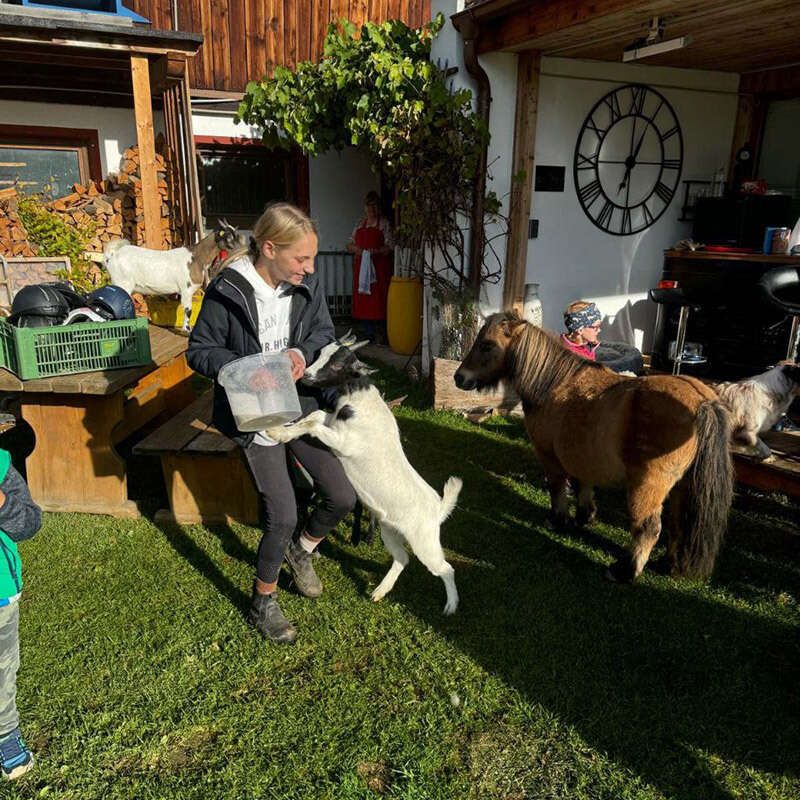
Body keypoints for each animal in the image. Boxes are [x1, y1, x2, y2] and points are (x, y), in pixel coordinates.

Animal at [101, 219, 242, 332]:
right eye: (229, 237)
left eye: (236, 235)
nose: (241, 250)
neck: (196, 258)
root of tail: (112, 255)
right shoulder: (186, 290)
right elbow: (188, 310)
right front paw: (187, 329)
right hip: (122, 283)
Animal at [268, 334, 462, 616]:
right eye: (321, 353)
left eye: (338, 365)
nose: (306, 375)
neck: (358, 403)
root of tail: (438, 509)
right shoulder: (331, 421)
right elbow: (314, 416)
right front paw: (283, 427)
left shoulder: (344, 443)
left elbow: (313, 424)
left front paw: (278, 433)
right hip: (390, 531)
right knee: (402, 559)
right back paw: (379, 591)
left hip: (425, 542)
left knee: (445, 568)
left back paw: (451, 605)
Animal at [454, 312, 736, 580]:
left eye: (487, 345)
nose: (459, 377)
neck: (553, 382)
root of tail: (703, 402)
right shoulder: (580, 456)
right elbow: (583, 485)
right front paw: (584, 516)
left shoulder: (549, 456)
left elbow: (557, 488)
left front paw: (558, 519)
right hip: (682, 487)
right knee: (677, 526)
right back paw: (667, 565)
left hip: (647, 486)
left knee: (648, 528)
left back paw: (624, 571)